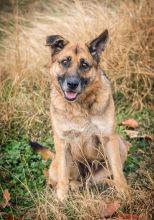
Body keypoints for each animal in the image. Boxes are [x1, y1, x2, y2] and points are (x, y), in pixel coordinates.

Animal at [29, 29, 129, 201]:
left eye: (84, 65)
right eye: (65, 62)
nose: (72, 84)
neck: (79, 106)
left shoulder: (108, 138)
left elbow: (118, 172)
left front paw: (124, 193)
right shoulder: (62, 141)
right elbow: (63, 177)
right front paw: (61, 198)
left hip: (120, 145)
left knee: (96, 180)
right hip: (66, 162)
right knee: (59, 179)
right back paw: (68, 187)